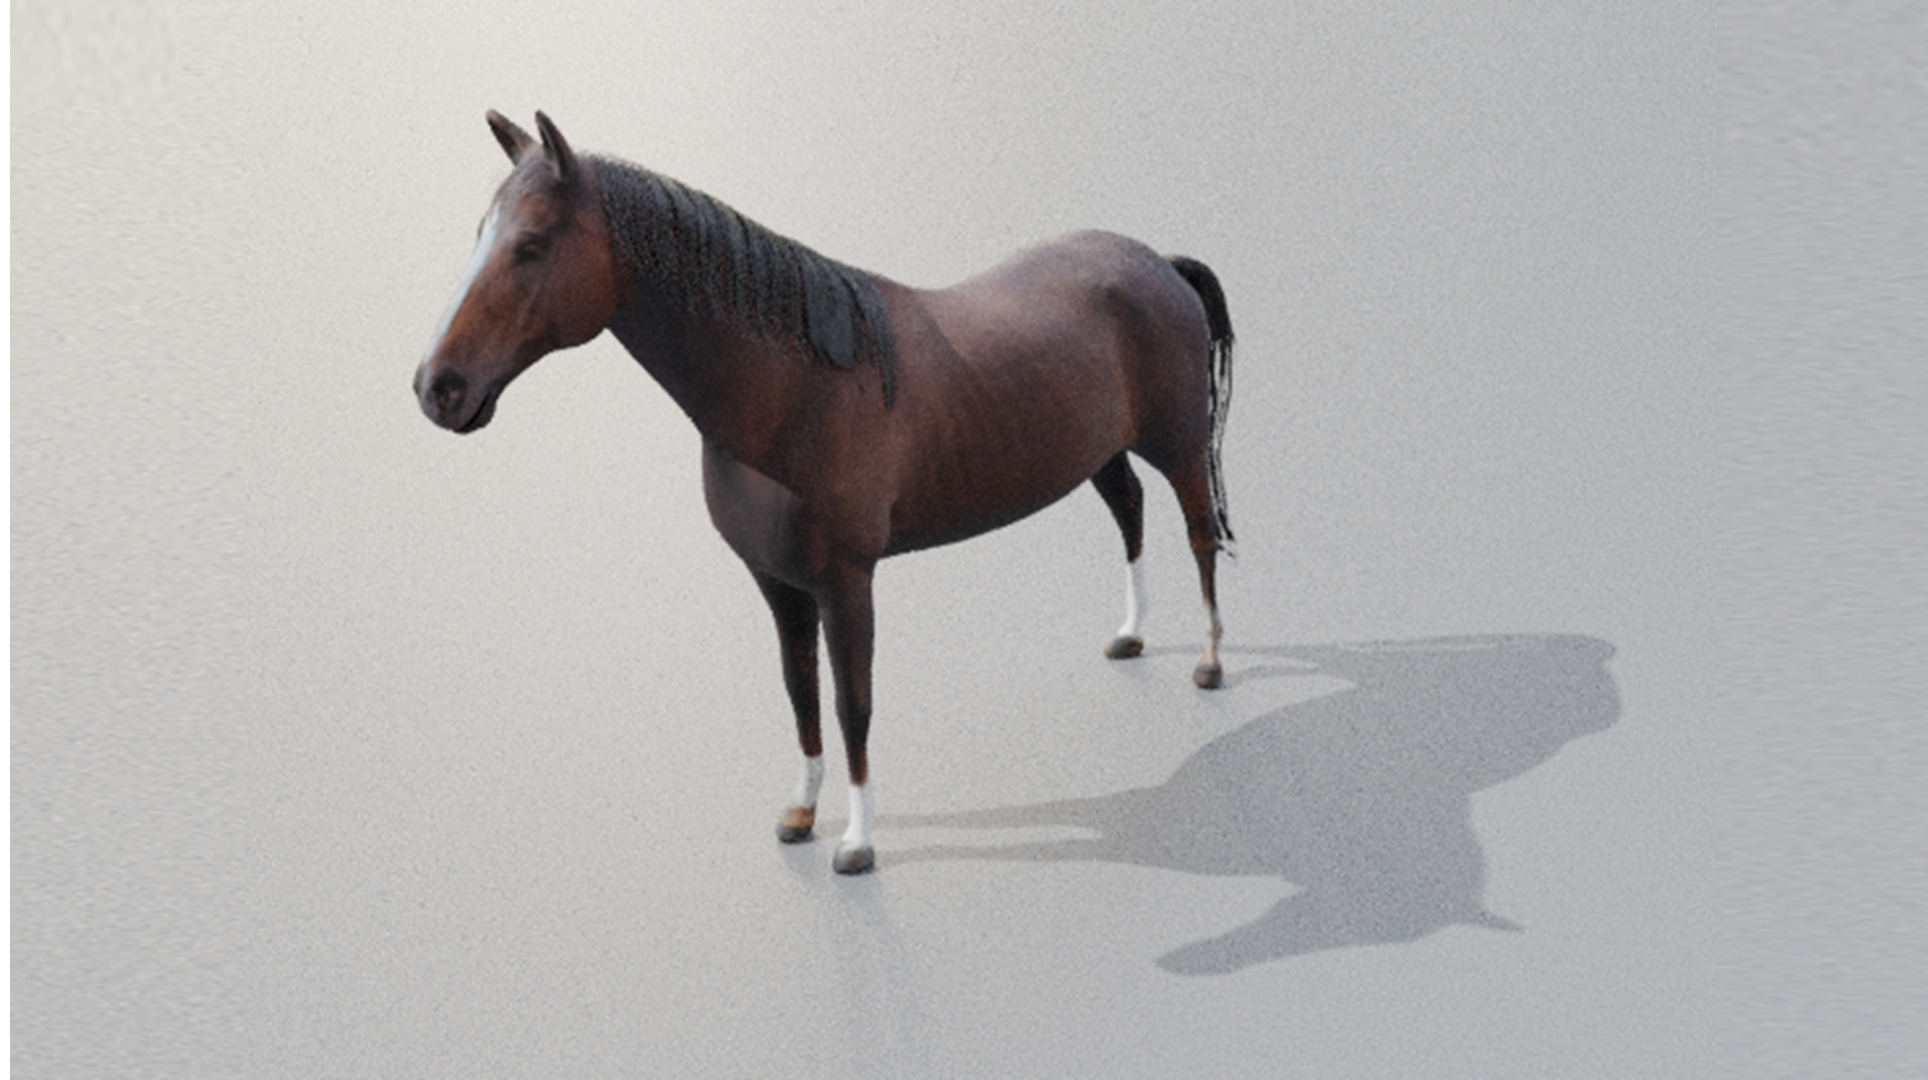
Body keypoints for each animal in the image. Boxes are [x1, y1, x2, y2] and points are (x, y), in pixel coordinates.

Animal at [414, 111, 1238, 875]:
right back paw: (1129, 636)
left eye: (530, 245)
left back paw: (1208, 663)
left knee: (1198, 533)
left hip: (1178, 446)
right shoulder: (777, 583)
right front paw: (801, 816)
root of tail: (1159, 263)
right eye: (480, 234)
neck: (798, 386)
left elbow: (852, 701)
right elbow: (799, 688)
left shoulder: (847, 582)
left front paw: (857, 844)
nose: (437, 388)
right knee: (1128, 511)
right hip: (1100, 452)